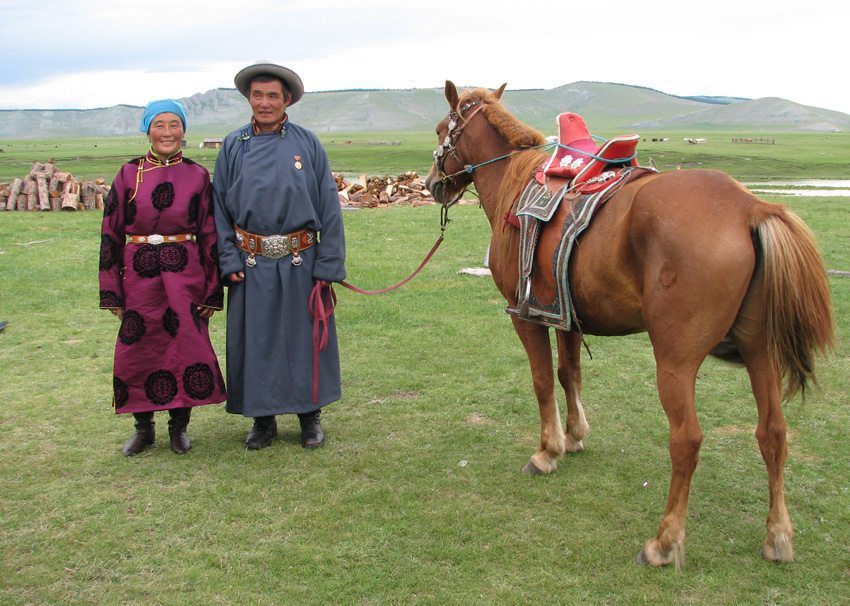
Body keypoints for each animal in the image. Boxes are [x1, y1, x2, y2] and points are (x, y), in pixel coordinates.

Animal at [420, 81, 832, 568]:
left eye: (442, 129)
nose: (432, 184)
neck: (513, 181)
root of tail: (749, 207)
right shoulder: (565, 314)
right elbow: (569, 372)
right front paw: (575, 436)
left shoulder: (524, 315)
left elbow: (542, 381)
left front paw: (548, 451)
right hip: (758, 350)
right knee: (774, 433)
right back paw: (777, 536)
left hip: (675, 360)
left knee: (686, 440)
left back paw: (665, 542)